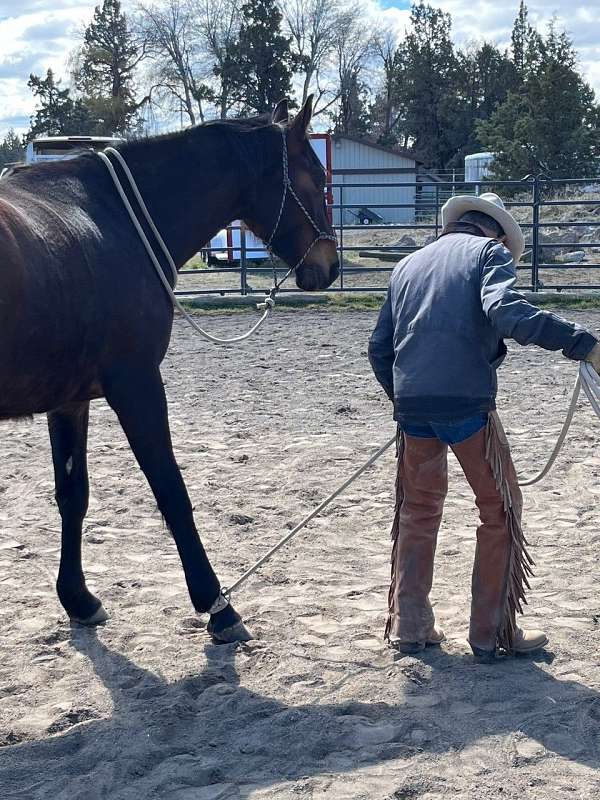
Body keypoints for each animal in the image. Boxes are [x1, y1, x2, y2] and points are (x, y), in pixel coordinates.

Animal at [0, 97, 338, 644]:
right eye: (315, 174)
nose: (329, 265)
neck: (113, 217)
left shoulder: (70, 399)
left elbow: (73, 494)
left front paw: (78, 599)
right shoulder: (136, 384)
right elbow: (171, 491)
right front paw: (218, 605)